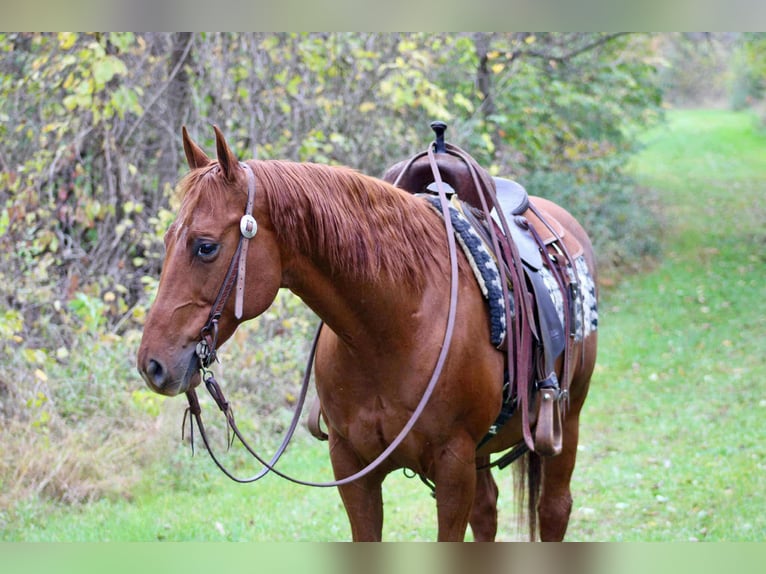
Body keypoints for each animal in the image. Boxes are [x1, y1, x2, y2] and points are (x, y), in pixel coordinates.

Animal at [136, 126, 598, 541]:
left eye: (205, 246)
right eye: (167, 239)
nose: (151, 365)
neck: (391, 331)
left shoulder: (453, 465)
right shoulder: (351, 466)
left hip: (567, 420)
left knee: (554, 510)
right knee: (487, 513)